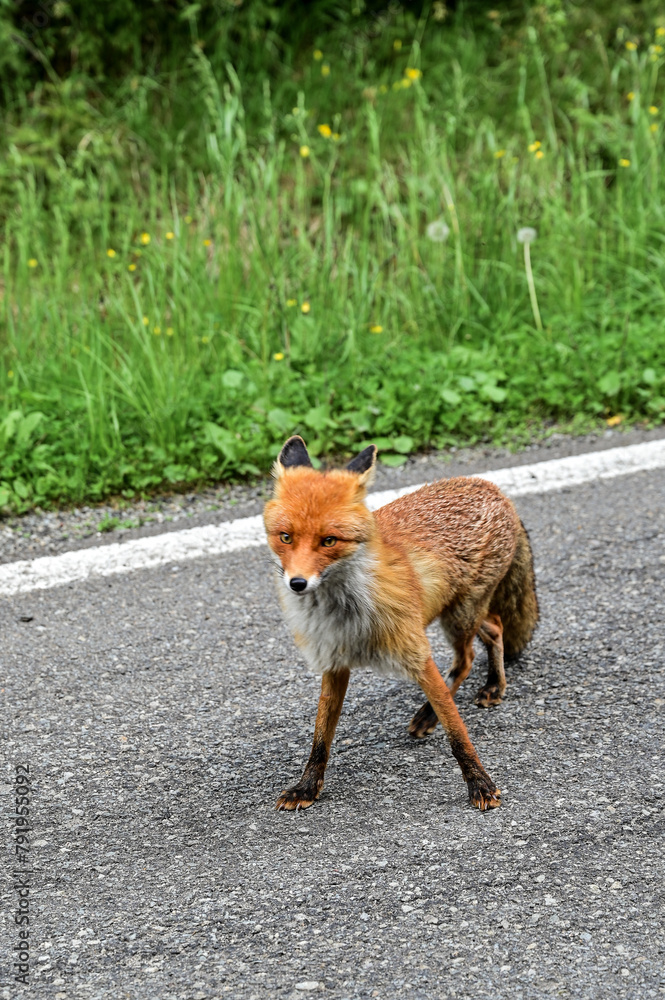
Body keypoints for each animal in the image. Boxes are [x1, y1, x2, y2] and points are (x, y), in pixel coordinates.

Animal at [263, 435, 539, 812]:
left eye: (329, 540)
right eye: (286, 537)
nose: (297, 583)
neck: (345, 612)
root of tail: (493, 488)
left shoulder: (417, 652)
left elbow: (458, 732)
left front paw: (480, 783)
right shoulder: (334, 663)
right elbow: (321, 739)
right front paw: (307, 787)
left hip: (459, 617)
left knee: (467, 658)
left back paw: (454, 703)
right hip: (458, 613)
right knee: (494, 628)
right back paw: (488, 687)